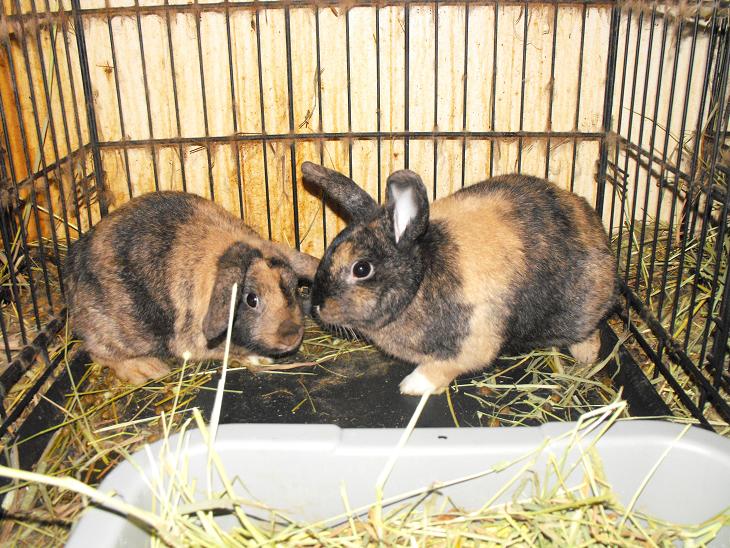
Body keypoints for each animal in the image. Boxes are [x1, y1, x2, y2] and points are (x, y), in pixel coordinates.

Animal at [64, 191, 319, 384]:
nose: (292, 335)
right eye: (251, 299)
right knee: (99, 353)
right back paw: (149, 369)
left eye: (295, 287)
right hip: (117, 333)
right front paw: (258, 359)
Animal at [301, 162, 617, 396]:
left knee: (591, 331)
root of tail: (597, 230)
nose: (317, 306)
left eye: (361, 269)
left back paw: (586, 355)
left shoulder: (473, 341)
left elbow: (443, 367)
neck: (420, 280)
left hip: (579, 308)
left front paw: (412, 386)